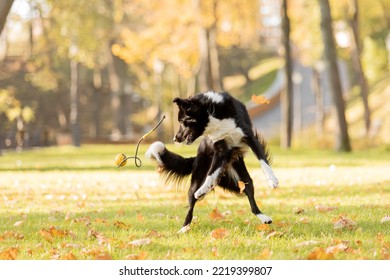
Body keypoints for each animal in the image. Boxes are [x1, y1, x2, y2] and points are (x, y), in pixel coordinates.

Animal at [145, 91, 278, 232]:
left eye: (182, 121)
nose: (175, 139)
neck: (212, 115)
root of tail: (195, 158)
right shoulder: (220, 150)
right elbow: (211, 174)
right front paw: (203, 189)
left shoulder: (250, 137)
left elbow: (263, 160)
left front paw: (272, 180)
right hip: (197, 179)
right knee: (191, 205)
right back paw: (184, 227)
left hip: (244, 180)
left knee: (250, 199)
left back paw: (264, 217)